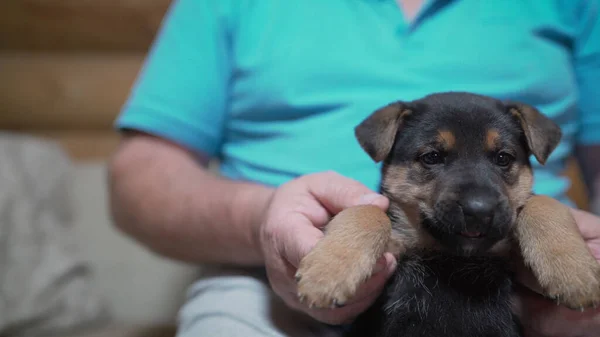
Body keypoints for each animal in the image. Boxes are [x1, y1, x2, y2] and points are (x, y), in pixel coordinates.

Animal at [294, 92, 600, 336]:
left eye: (503, 158)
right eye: (431, 157)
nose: (479, 211)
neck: (454, 255)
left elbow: (544, 203)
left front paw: (574, 273)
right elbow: (367, 210)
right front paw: (328, 273)